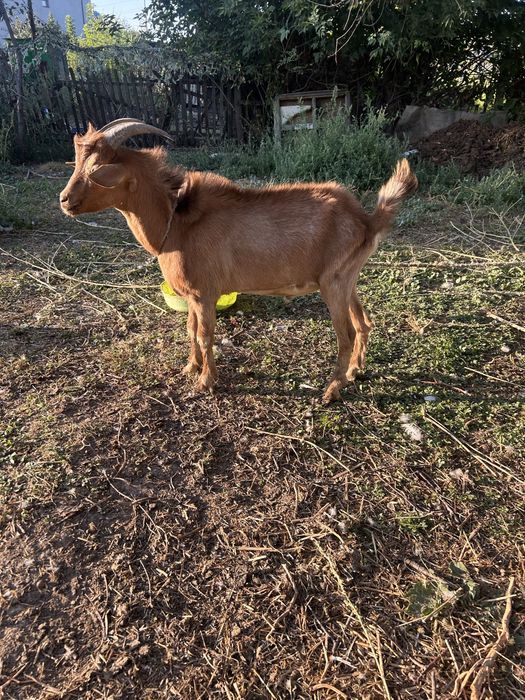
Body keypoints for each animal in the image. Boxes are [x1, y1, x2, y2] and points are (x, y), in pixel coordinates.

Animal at [60, 119, 417, 402]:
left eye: (95, 170)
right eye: (76, 164)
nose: (65, 200)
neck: (176, 223)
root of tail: (365, 220)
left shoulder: (205, 293)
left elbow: (205, 335)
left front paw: (205, 382)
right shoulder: (193, 296)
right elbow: (190, 329)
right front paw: (190, 367)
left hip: (333, 284)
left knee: (346, 336)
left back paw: (332, 390)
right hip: (348, 279)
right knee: (364, 323)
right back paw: (355, 371)